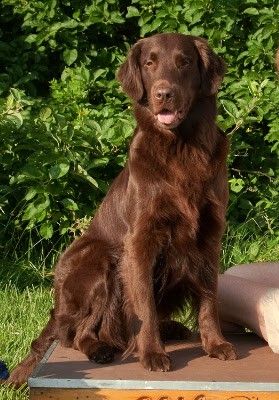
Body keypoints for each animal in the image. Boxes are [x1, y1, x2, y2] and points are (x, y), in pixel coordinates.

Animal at [8, 33, 236, 388]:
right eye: (150, 63)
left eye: (184, 62)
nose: (163, 94)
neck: (181, 147)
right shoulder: (139, 240)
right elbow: (143, 306)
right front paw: (152, 354)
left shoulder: (210, 236)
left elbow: (209, 297)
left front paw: (215, 344)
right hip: (99, 260)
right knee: (77, 334)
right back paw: (102, 348)